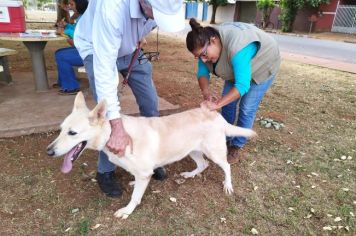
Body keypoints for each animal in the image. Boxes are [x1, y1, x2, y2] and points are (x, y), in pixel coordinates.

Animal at [46, 92, 256, 219]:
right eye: (61, 130)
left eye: (72, 133)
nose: (48, 151)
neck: (114, 135)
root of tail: (216, 115)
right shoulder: (141, 172)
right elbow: (135, 181)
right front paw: (132, 183)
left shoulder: (145, 174)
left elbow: (135, 197)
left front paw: (127, 211)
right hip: (192, 151)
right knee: (202, 165)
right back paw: (189, 175)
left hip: (214, 153)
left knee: (227, 166)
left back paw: (228, 185)